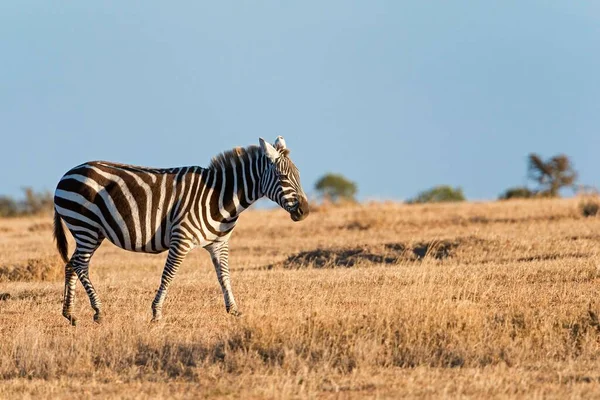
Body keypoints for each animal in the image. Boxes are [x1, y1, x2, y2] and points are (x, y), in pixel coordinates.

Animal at [51, 138, 310, 324]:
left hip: (91, 231)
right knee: (81, 265)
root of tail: (67, 173)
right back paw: (98, 311)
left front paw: (234, 309)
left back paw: (70, 314)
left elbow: (224, 276)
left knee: (71, 264)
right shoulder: (181, 238)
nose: (305, 211)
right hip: (85, 225)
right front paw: (156, 313)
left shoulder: (219, 243)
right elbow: (168, 275)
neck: (219, 196)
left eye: (298, 175)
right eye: (282, 176)